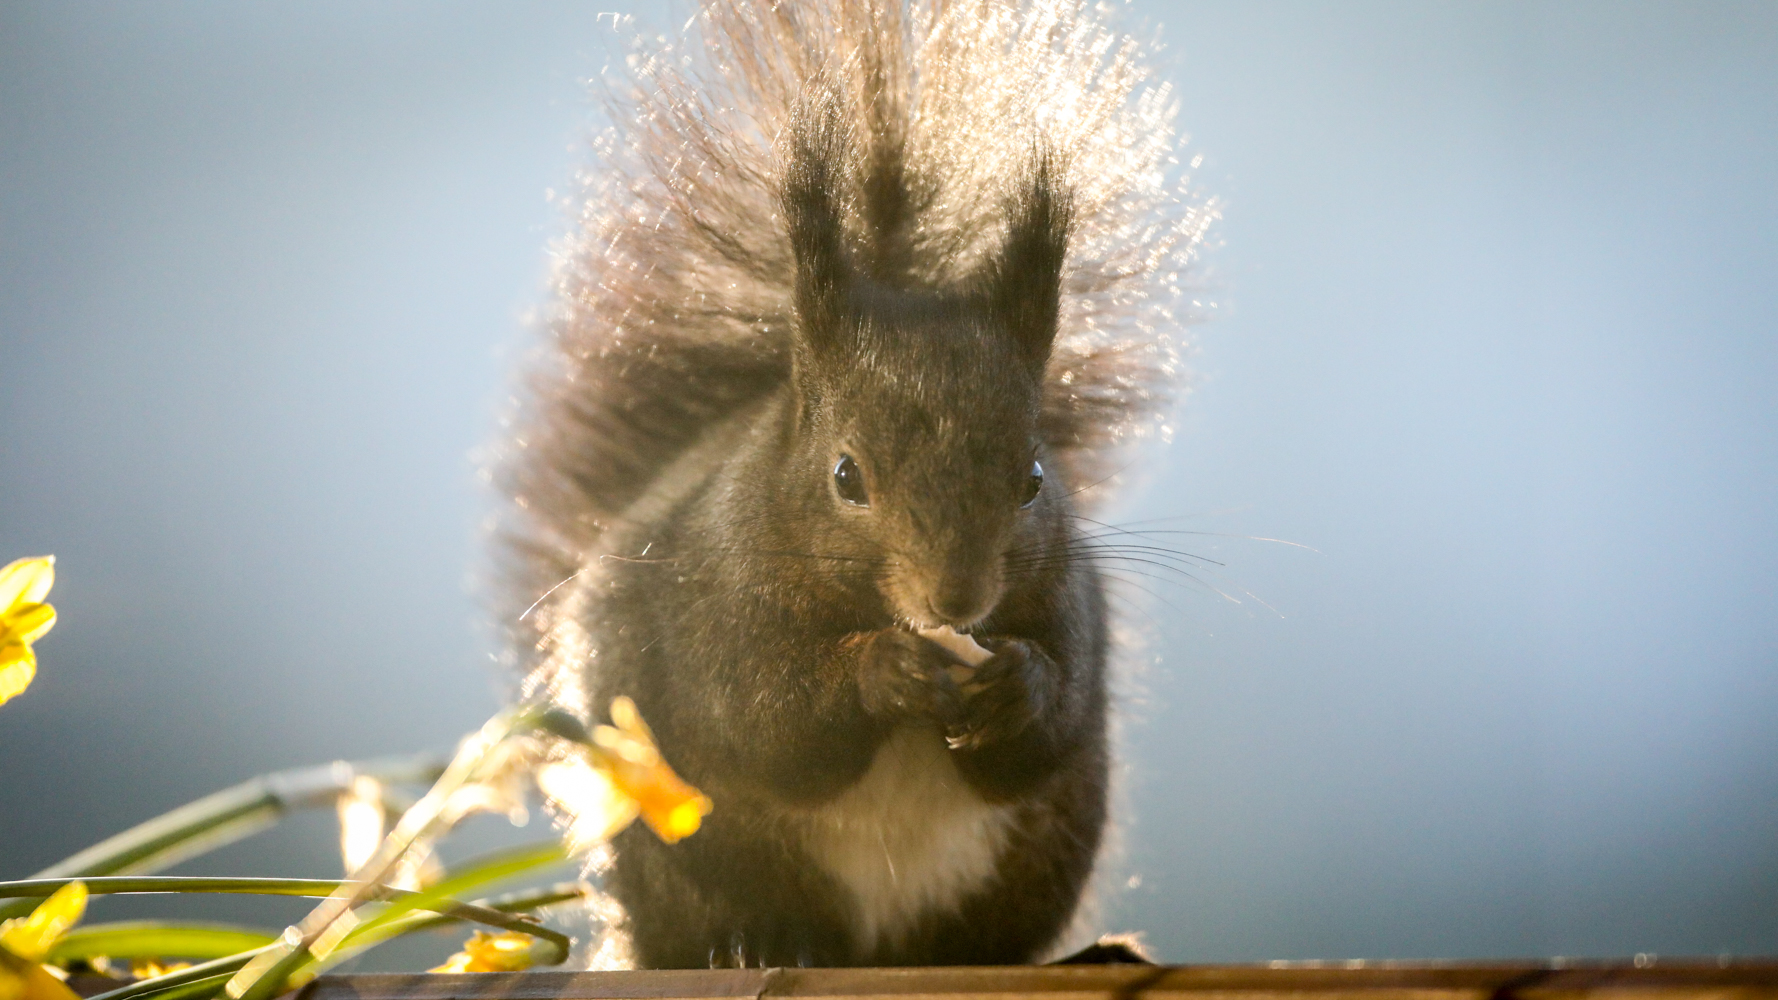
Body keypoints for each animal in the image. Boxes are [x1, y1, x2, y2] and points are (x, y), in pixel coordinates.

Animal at [495, 0, 1211, 969]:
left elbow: (1049, 727)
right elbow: (762, 720)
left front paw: (1017, 685)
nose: (957, 600)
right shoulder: (710, 601)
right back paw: (757, 948)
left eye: (1033, 477)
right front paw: (885, 669)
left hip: (1037, 858)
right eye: (846, 476)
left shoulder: (1072, 605)